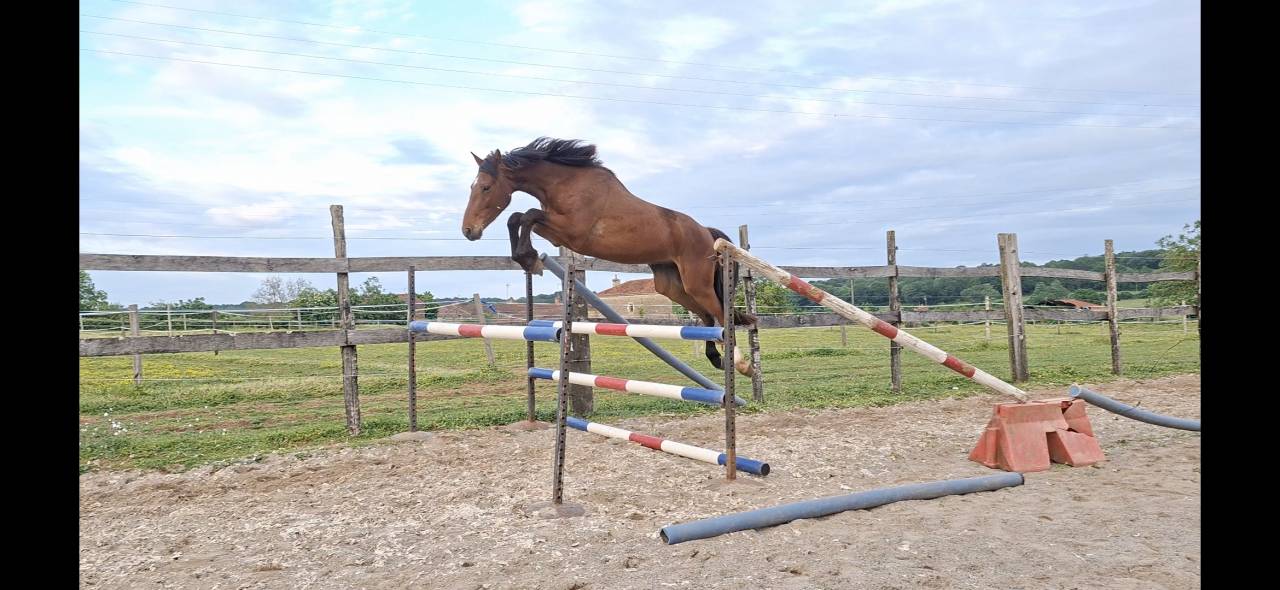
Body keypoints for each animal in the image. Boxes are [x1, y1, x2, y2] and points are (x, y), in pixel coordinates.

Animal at [460, 137, 755, 376]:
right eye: (472, 187)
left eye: (486, 187)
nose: (469, 231)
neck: (565, 184)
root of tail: (705, 232)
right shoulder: (557, 233)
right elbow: (517, 217)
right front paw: (528, 259)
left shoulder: (571, 233)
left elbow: (528, 214)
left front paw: (529, 257)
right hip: (672, 285)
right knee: (707, 317)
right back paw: (716, 358)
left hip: (696, 282)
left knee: (720, 313)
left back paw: (741, 364)